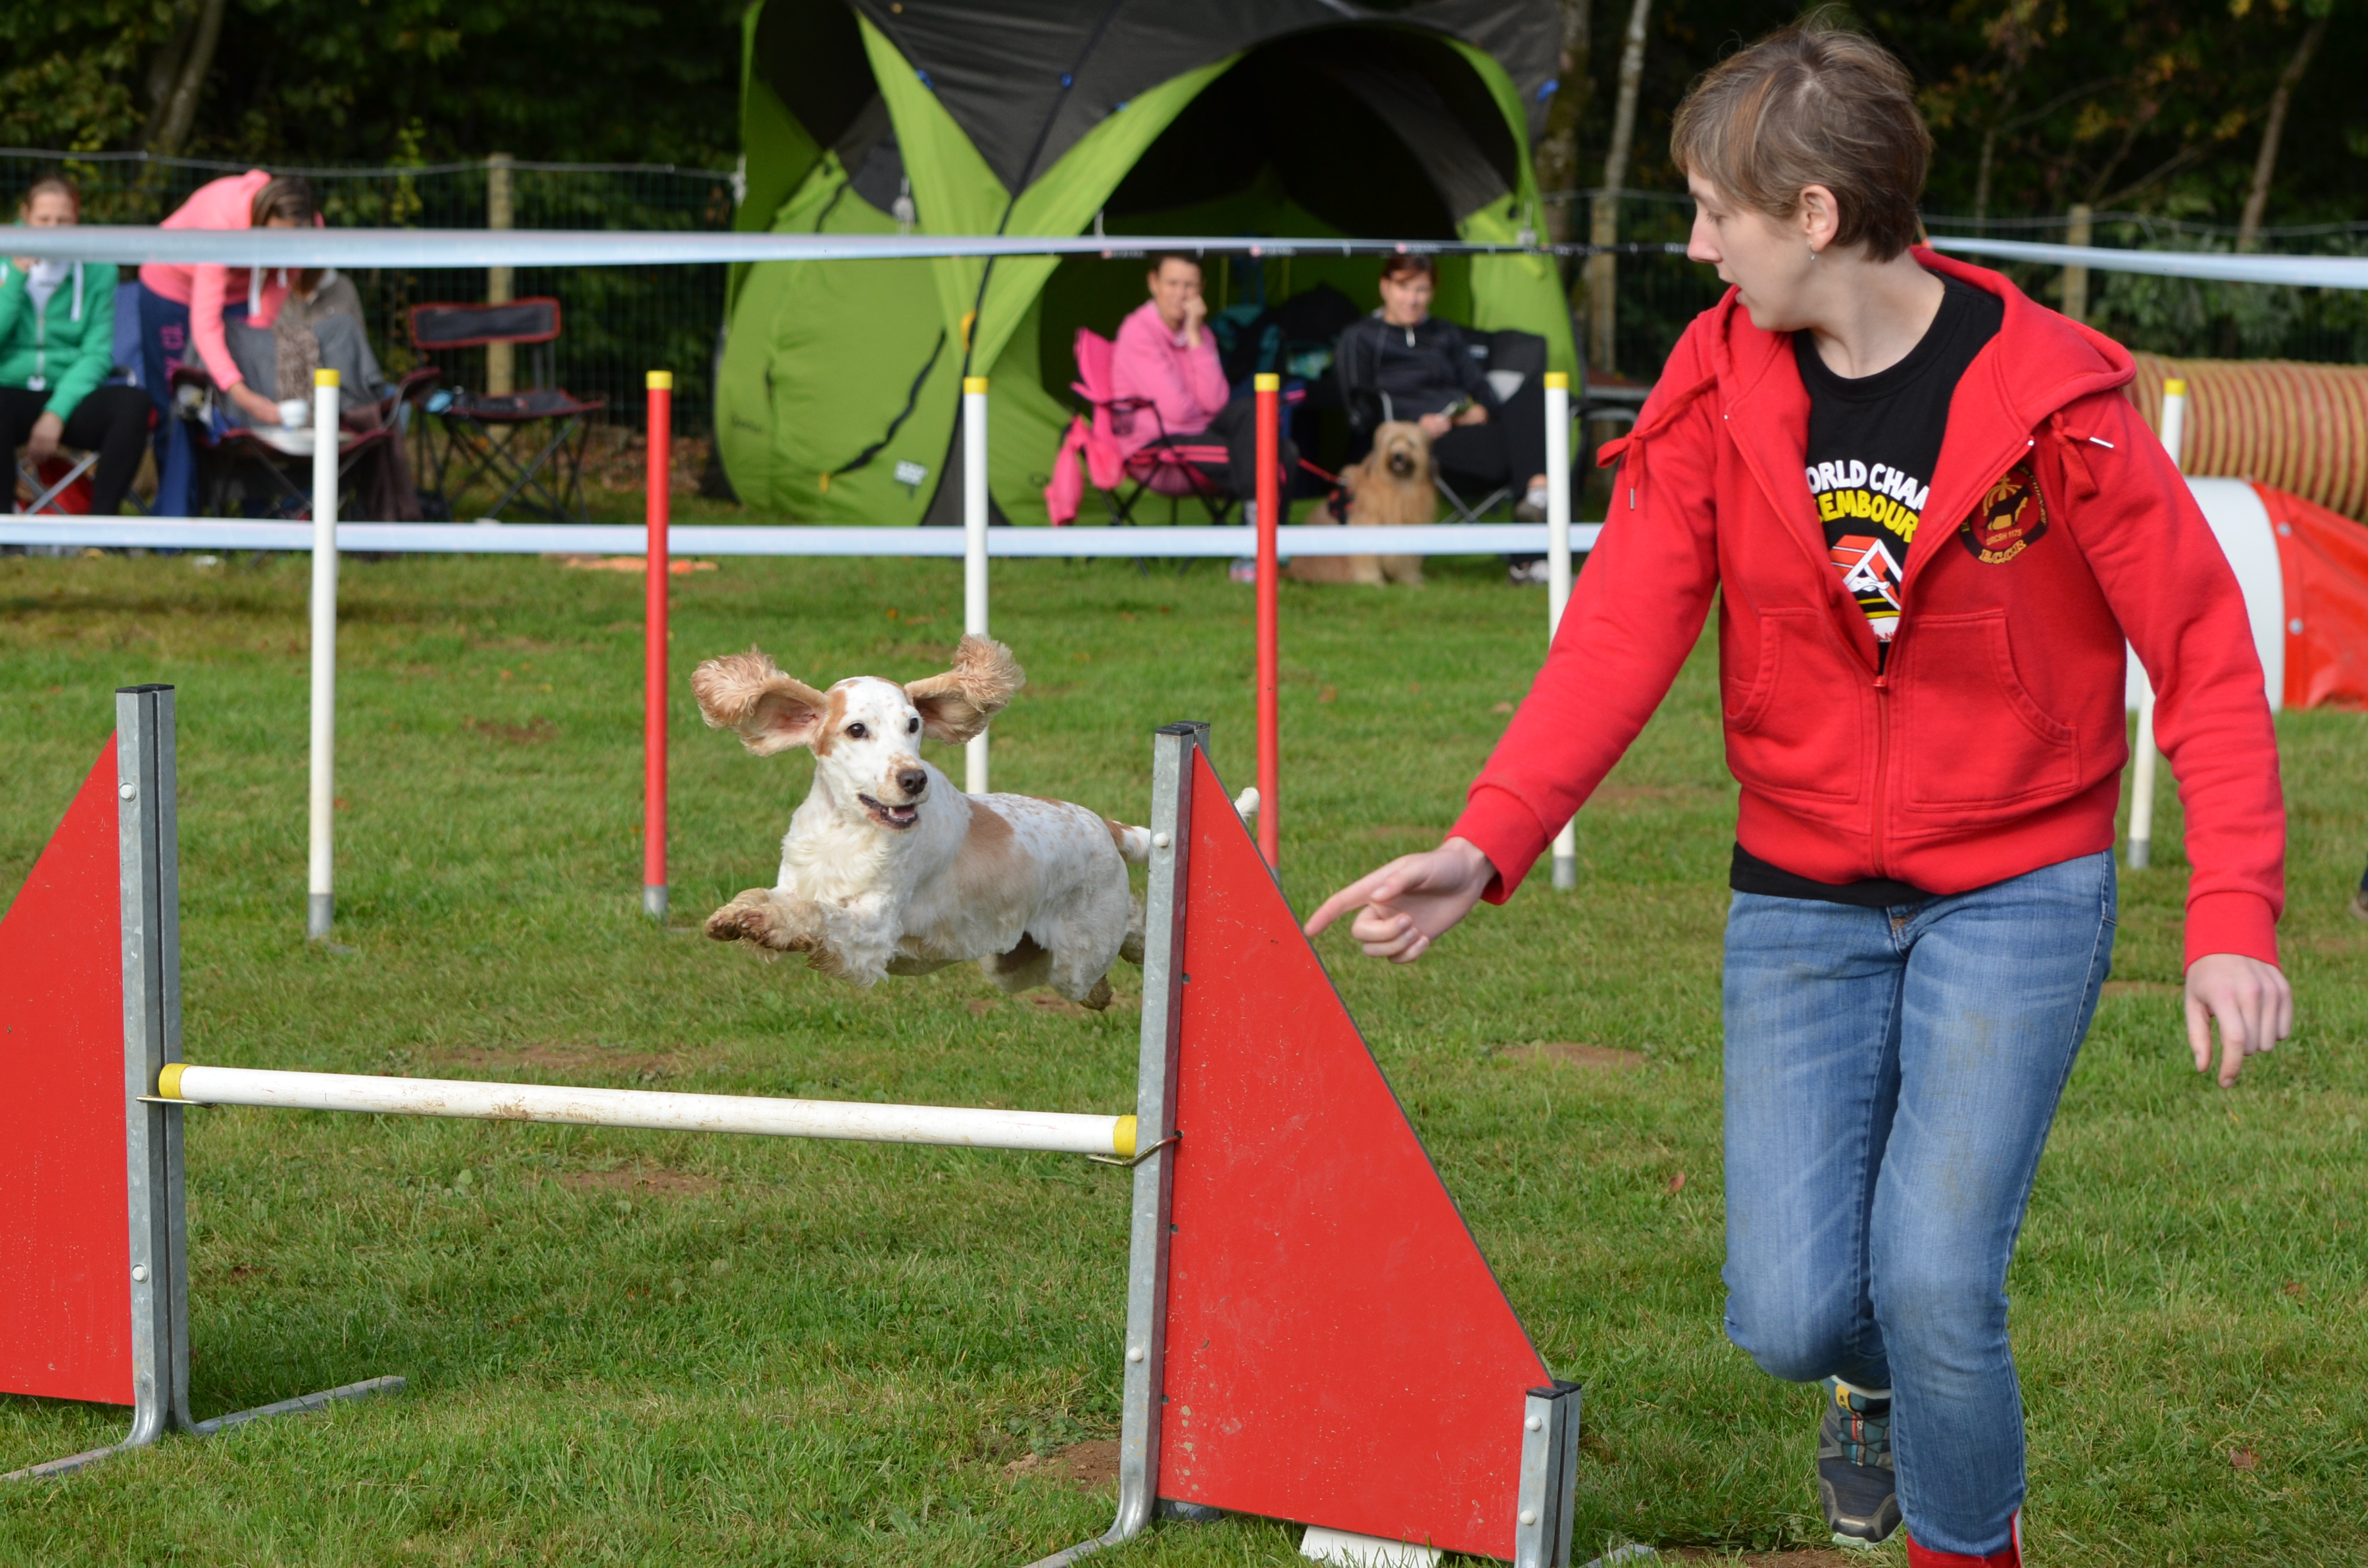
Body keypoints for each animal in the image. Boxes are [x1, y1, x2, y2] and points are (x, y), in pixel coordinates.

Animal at [692, 635, 1191, 1011]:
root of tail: (1103, 825)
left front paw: (757, 919)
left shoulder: (871, 936)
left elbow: (820, 915)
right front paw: (735, 916)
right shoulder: (798, 883)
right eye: (856, 729)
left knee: (1129, 930)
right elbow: (775, 900)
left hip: (1079, 953)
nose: (914, 779)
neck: (849, 829)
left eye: (914, 724)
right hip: (1010, 962)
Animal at [1287, 420, 1433, 587]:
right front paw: (1371, 581)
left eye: (1411, 443)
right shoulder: (1367, 526)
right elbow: (1366, 558)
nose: (1398, 456)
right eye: (1391, 442)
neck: (1397, 484)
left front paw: (1410, 581)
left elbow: (1406, 561)